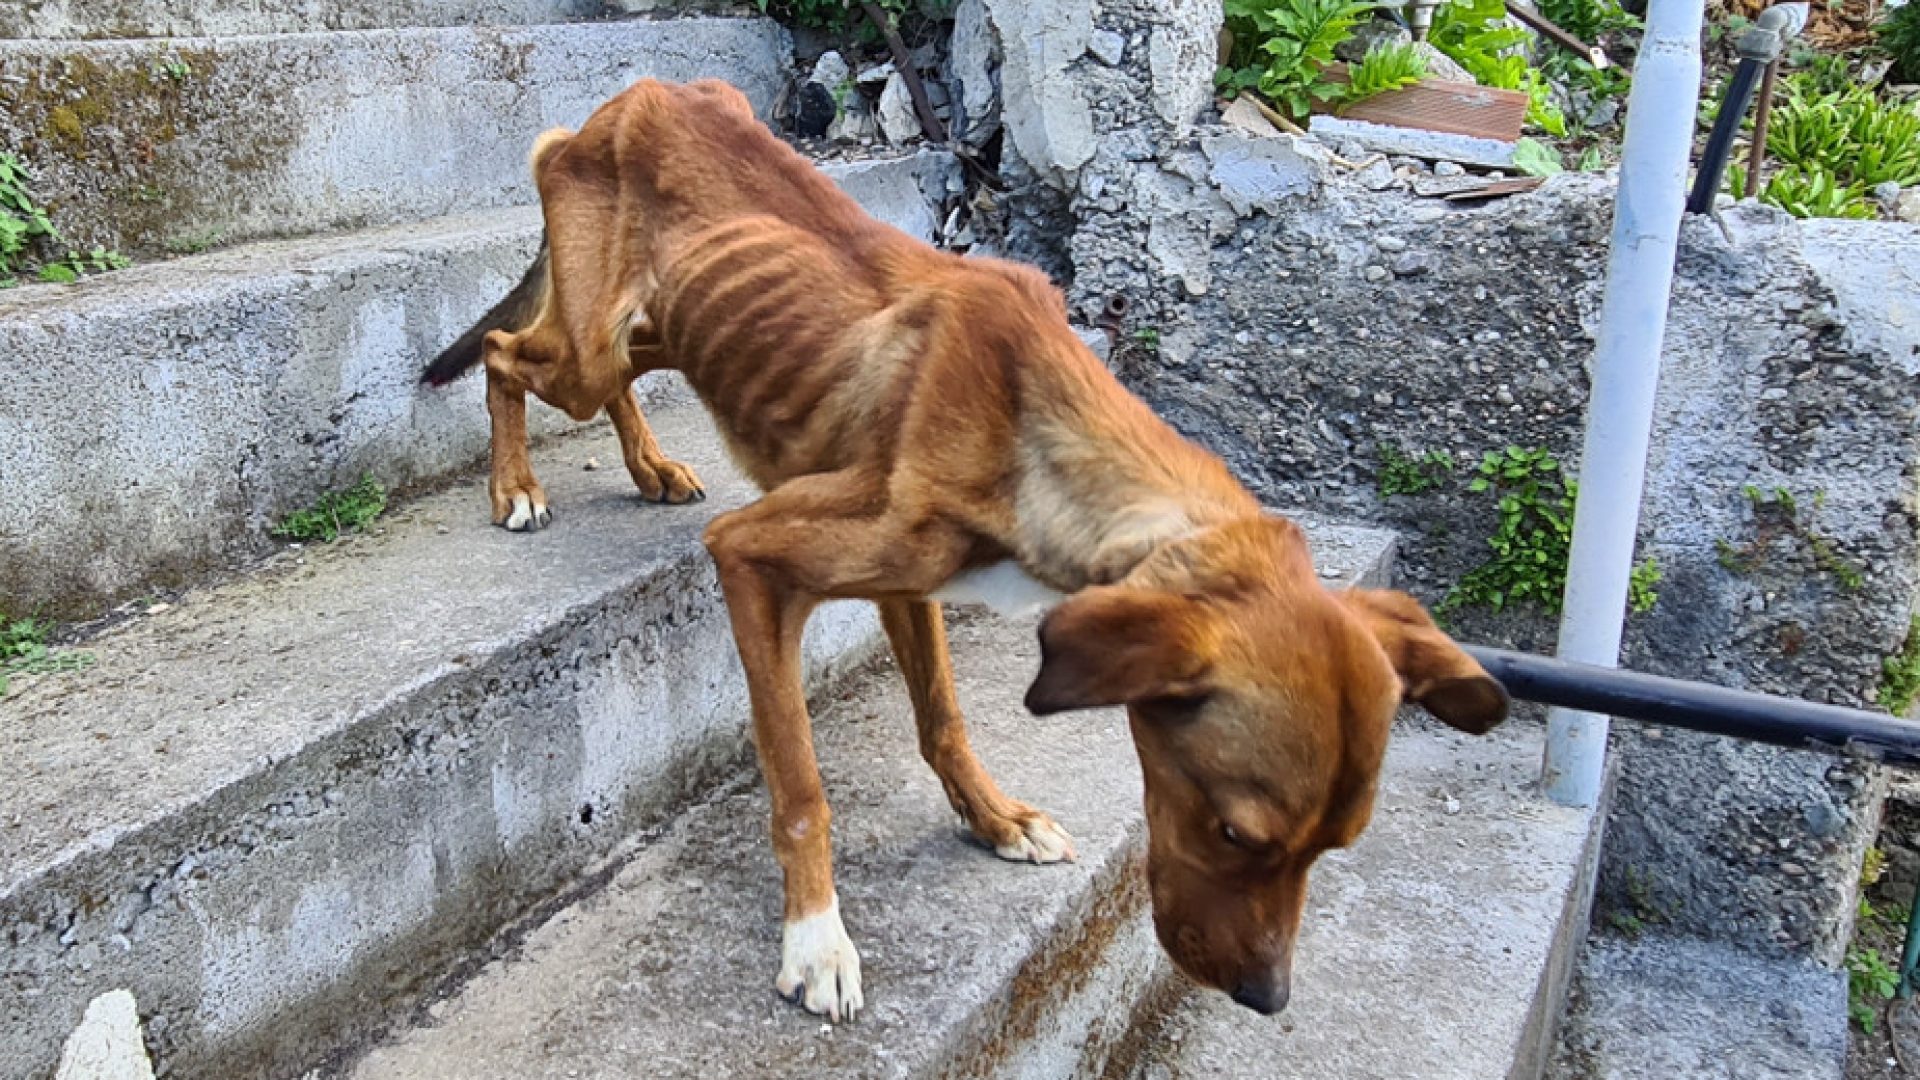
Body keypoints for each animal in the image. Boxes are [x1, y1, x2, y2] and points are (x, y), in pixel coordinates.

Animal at [428, 75, 1505, 1014]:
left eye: (1337, 846)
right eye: (1238, 832)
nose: (1267, 1000)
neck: (1038, 435)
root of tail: (630, 97)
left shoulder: (909, 580)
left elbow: (944, 719)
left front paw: (995, 821)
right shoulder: (751, 556)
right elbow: (801, 782)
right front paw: (815, 940)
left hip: (657, 329)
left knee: (590, 371)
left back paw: (650, 465)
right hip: (591, 341)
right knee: (504, 356)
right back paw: (515, 485)